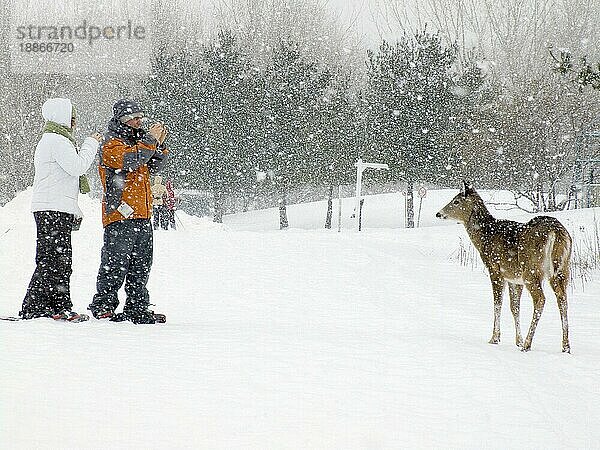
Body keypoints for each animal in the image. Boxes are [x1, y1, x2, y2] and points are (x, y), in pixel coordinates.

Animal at [436, 181, 572, 354]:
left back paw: (528, 345)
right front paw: (518, 341)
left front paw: (495, 338)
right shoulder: (514, 278)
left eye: (456, 201)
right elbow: (514, 307)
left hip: (531, 270)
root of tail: (556, 232)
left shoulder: (495, 269)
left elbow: (497, 303)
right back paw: (565, 346)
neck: (484, 237)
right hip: (562, 269)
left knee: (541, 299)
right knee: (562, 298)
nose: (438, 214)